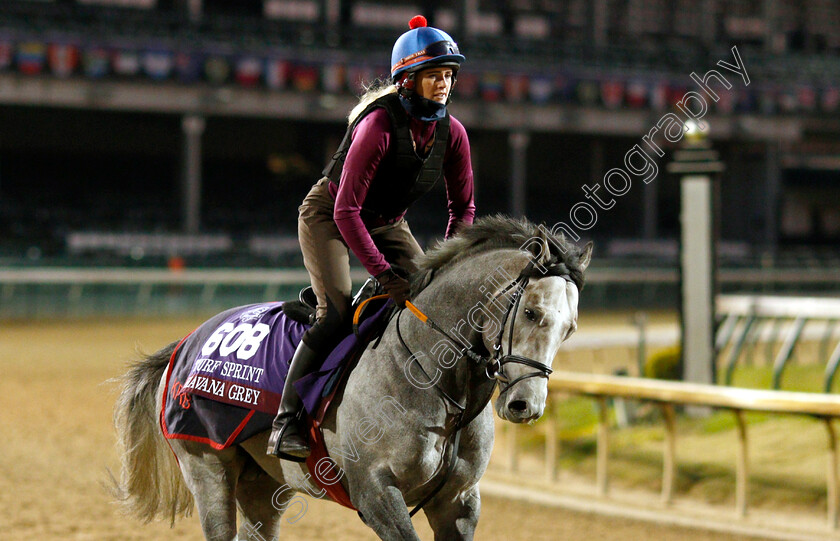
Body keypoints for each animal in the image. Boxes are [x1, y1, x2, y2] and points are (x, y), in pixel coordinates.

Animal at [111, 215, 592, 540]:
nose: (525, 405)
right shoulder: (376, 493)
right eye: (531, 312)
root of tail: (186, 342)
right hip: (207, 465)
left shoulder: (458, 501)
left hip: (263, 483)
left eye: (570, 328)